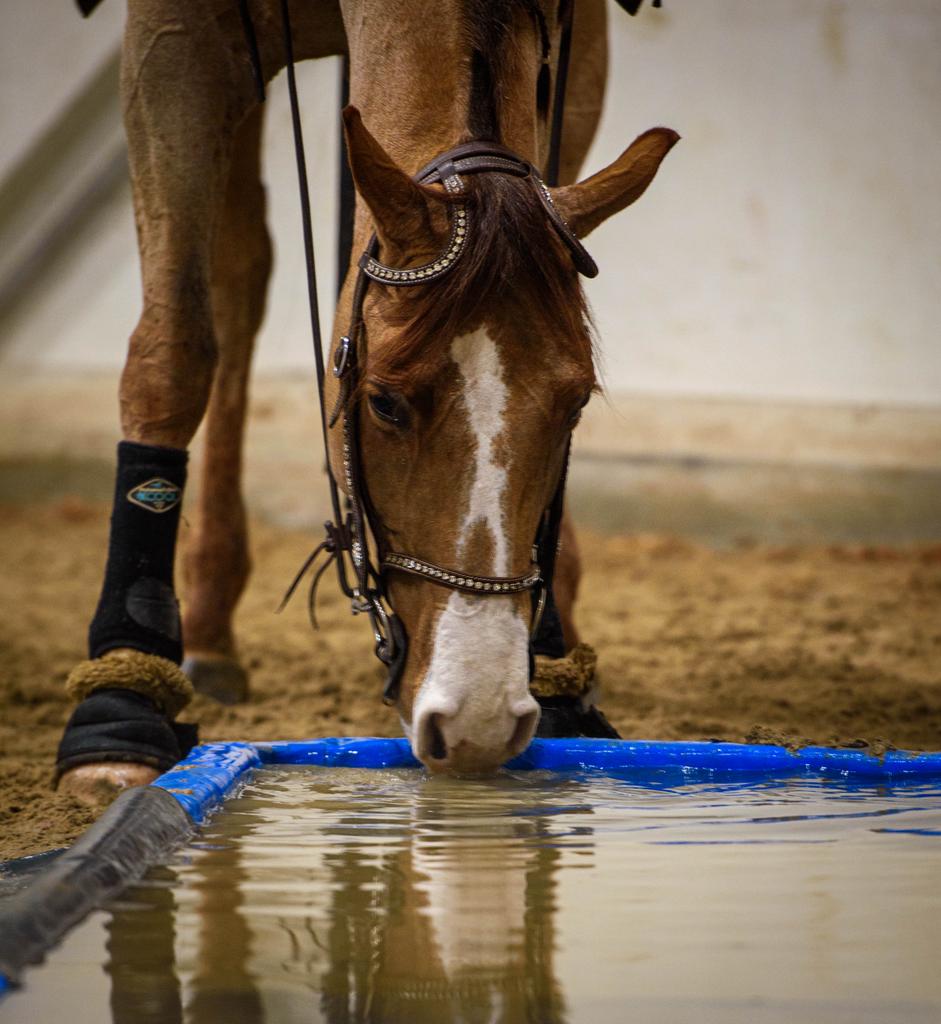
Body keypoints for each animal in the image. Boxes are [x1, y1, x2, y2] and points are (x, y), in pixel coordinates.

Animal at [56, 0, 677, 800]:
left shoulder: (578, 48)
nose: (476, 720)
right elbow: (173, 351)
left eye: (575, 406)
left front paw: (554, 667)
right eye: (383, 403)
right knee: (236, 276)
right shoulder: (176, 41)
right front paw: (120, 696)